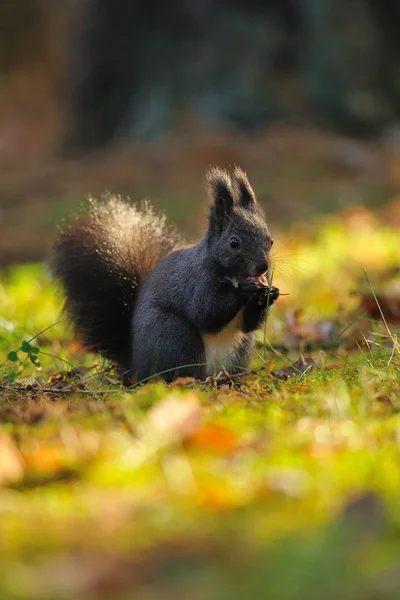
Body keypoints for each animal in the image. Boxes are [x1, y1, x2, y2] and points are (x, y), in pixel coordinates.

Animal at [51, 168, 280, 384]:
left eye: (270, 240)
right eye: (234, 242)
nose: (262, 267)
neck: (235, 275)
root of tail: (137, 367)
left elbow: (251, 324)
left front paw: (271, 294)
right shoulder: (197, 281)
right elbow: (207, 312)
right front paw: (245, 291)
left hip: (241, 347)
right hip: (174, 336)